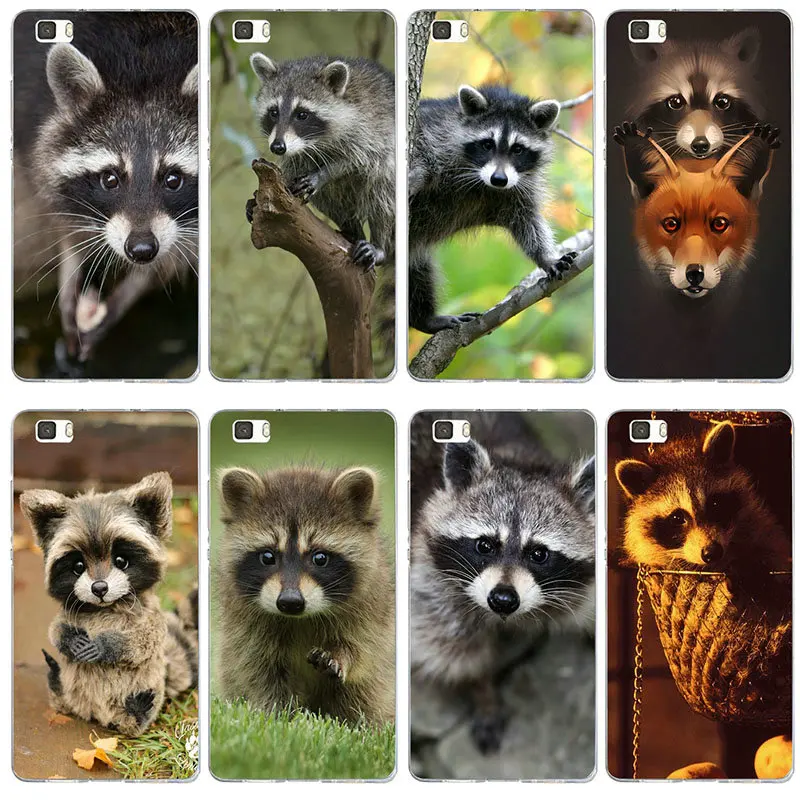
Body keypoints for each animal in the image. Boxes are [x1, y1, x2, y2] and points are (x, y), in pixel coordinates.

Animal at [13, 12, 199, 364]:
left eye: (173, 180)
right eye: (110, 179)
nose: (141, 250)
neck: (145, 62)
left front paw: (131, 290)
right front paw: (70, 262)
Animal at [19, 472, 198, 736]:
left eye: (121, 561)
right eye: (78, 566)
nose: (100, 588)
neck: (105, 606)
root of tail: (94, 714)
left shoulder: (150, 615)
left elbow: (145, 639)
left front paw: (108, 645)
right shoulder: (69, 613)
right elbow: (56, 628)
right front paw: (68, 639)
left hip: (149, 684)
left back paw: (137, 713)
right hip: (73, 694)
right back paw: (56, 680)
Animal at [214, 465, 395, 725]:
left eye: (320, 558)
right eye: (267, 557)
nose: (290, 602)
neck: (300, 619)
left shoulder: (372, 610)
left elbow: (364, 649)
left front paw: (341, 655)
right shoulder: (245, 627)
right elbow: (258, 671)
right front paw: (279, 717)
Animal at [408, 85, 577, 334]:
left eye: (518, 149)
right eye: (487, 144)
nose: (499, 179)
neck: (482, 182)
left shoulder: (517, 190)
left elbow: (528, 223)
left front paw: (546, 257)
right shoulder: (434, 134)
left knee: (418, 271)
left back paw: (423, 318)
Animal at [410, 413, 594, 752]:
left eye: (539, 553)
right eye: (485, 545)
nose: (503, 599)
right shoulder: (427, 577)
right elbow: (455, 650)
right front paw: (483, 691)